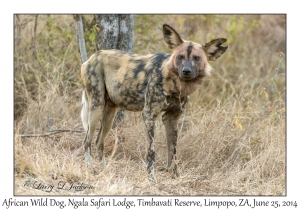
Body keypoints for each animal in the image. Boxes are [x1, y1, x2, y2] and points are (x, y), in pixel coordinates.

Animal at [79, 24, 227, 179]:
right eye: (180, 57)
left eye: (197, 58)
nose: (186, 71)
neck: (175, 84)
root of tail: (92, 57)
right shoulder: (149, 115)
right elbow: (151, 151)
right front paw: (151, 177)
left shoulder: (171, 117)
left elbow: (173, 150)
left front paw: (175, 176)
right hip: (96, 107)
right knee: (86, 141)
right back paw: (91, 169)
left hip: (110, 112)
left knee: (98, 141)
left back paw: (104, 171)